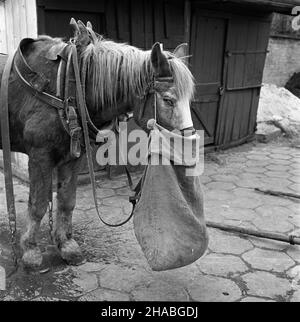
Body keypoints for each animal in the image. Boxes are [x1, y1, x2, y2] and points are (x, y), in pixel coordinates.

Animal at [0, 18, 196, 268]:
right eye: (168, 100)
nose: (188, 149)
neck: (68, 84)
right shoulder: (40, 156)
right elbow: (38, 204)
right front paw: (31, 252)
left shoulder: (73, 156)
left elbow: (67, 200)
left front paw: (66, 246)